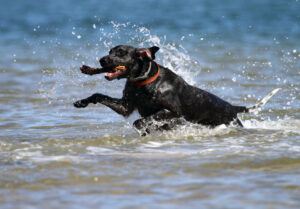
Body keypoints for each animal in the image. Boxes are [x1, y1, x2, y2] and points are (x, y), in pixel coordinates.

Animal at [74, 45, 280, 135]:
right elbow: (99, 95)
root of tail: (232, 107)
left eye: (121, 53)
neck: (143, 83)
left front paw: (145, 127)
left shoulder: (173, 112)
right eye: (110, 51)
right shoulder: (125, 107)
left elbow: (146, 119)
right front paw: (82, 102)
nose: (102, 60)